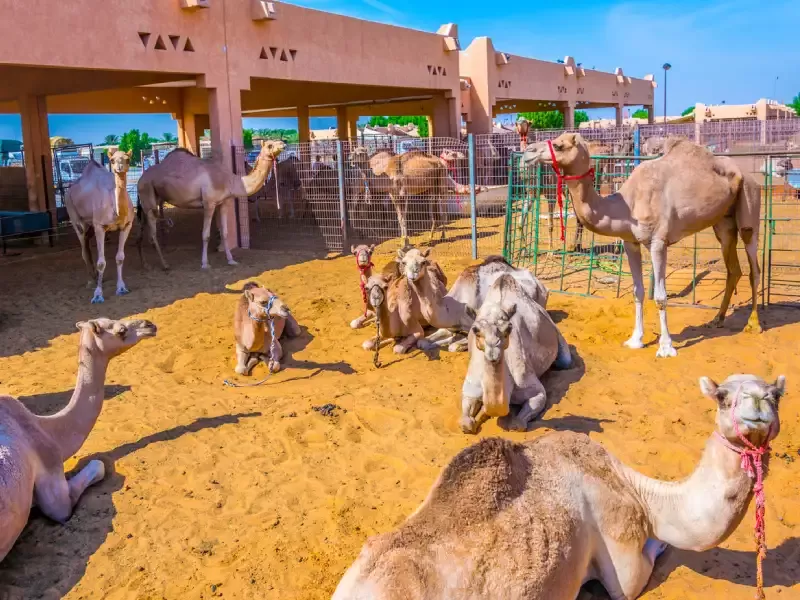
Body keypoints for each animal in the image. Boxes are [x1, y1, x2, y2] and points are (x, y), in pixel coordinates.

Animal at [64, 149, 135, 304]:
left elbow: (120, 258)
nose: (119, 168)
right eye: (112, 160)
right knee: (84, 248)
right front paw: (97, 295)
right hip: (74, 216)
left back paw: (96, 277)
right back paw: (91, 281)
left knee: (87, 246)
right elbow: (101, 262)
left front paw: (121, 288)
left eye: (127, 159)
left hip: (89, 227)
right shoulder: (99, 226)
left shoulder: (126, 225)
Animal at [136, 140, 285, 270]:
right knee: (152, 233)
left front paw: (231, 260)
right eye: (270, 145)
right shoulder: (209, 203)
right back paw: (165, 264)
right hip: (148, 195)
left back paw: (145, 265)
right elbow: (205, 235)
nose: (283, 143)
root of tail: (140, 180)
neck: (230, 181)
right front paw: (204, 264)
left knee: (142, 231)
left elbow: (225, 232)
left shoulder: (224, 203)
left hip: (148, 202)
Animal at [334, 373, 786, 600]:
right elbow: (642, 566)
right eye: (723, 397)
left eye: (775, 395)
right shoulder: (623, 560)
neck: (638, 491)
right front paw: (660, 544)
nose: (757, 408)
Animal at [460, 273, 571, 433]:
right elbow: (466, 424)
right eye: (475, 330)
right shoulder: (471, 387)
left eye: (508, 328)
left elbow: (518, 424)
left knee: (565, 361)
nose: (493, 351)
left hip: (557, 334)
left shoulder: (532, 387)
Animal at [522, 133, 762, 358]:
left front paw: (666, 347)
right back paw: (717, 319)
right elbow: (638, 291)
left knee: (754, 266)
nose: (527, 153)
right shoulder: (630, 243)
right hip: (723, 222)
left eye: (559, 145)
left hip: (749, 204)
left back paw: (754, 323)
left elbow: (661, 296)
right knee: (733, 268)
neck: (626, 206)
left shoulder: (658, 242)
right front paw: (635, 340)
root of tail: (748, 174)